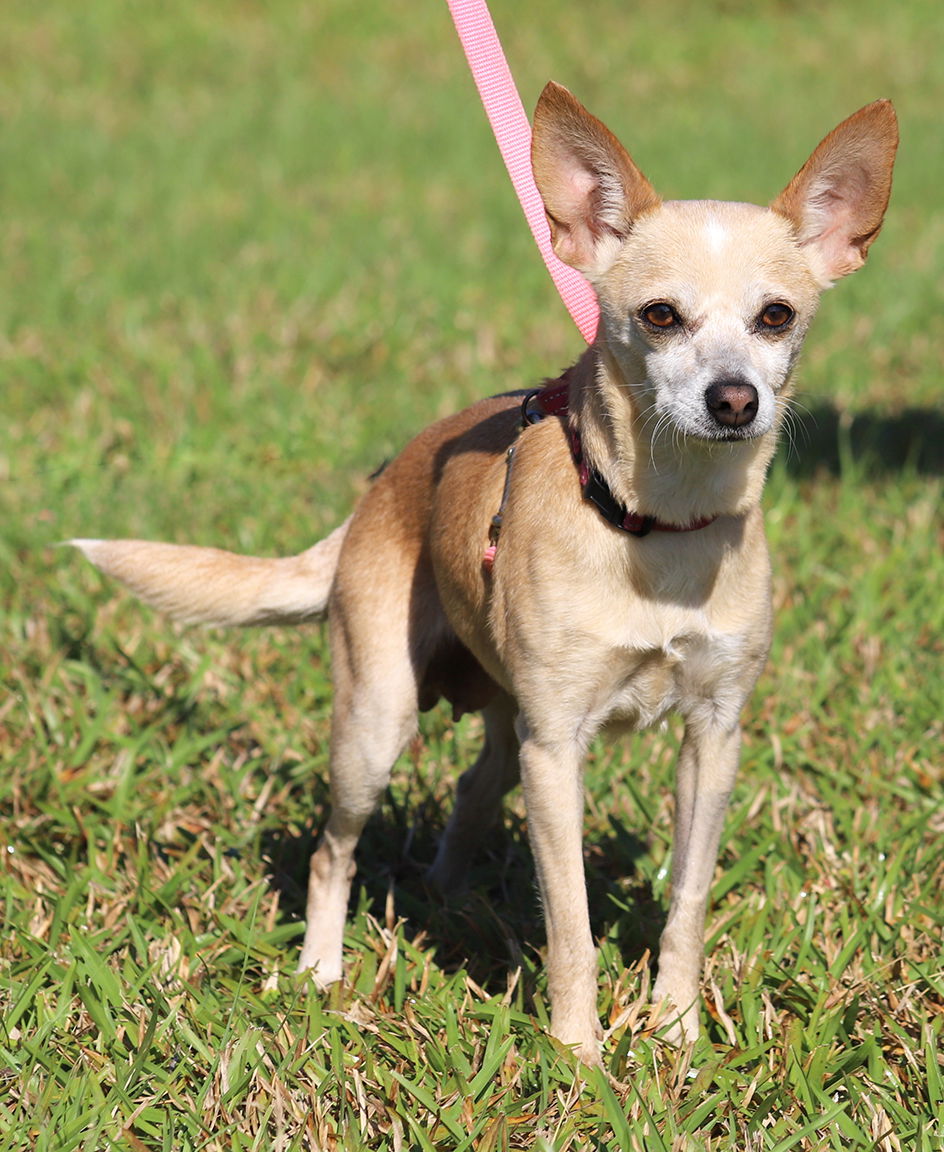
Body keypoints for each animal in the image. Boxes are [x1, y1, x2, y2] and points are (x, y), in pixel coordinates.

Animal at [70, 83, 899, 1069]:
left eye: (777, 316)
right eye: (660, 316)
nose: (735, 400)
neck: (655, 525)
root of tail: (380, 488)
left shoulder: (712, 739)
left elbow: (687, 904)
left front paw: (677, 1032)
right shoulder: (558, 751)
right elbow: (571, 921)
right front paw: (579, 1057)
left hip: (506, 736)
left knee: (471, 790)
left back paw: (446, 902)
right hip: (378, 726)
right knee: (333, 851)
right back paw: (322, 971)